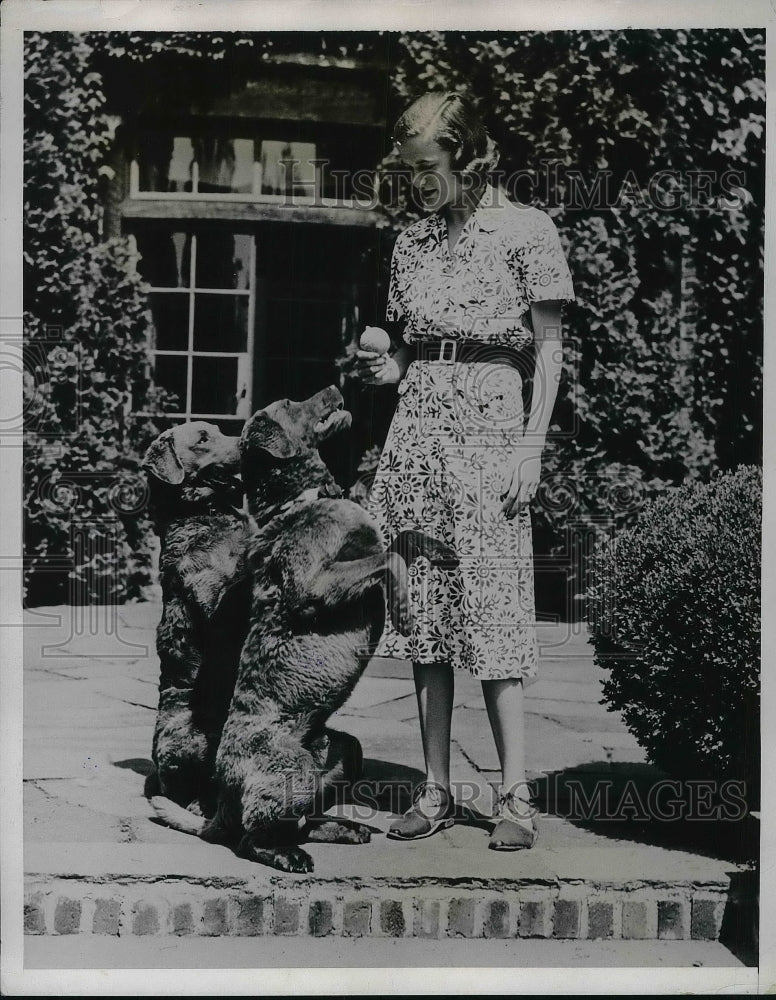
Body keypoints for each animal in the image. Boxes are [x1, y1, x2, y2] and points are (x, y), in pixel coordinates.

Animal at [139, 418, 249, 816]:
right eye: (202, 439)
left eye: (219, 429)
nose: (247, 441)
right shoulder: (210, 592)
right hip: (194, 734)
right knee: (192, 790)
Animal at [152, 386, 458, 872]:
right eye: (290, 403)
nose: (336, 388)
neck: (304, 496)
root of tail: (221, 802)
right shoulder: (313, 585)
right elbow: (389, 558)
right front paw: (404, 612)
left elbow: (402, 539)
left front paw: (442, 549)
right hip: (289, 771)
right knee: (252, 837)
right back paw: (289, 855)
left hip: (341, 754)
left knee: (302, 820)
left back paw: (345, 828)